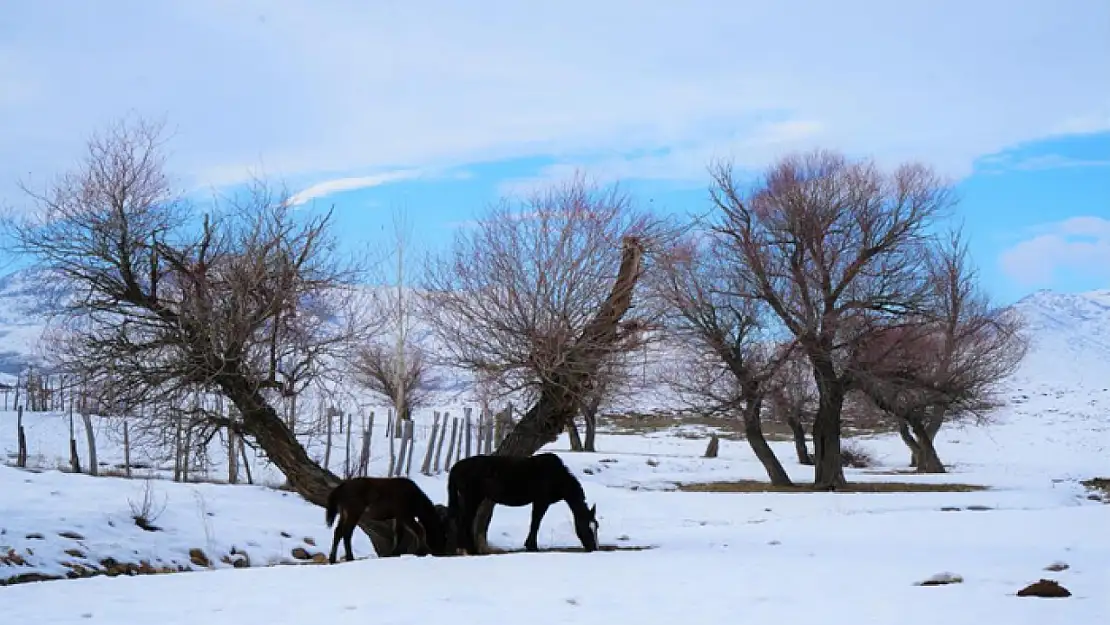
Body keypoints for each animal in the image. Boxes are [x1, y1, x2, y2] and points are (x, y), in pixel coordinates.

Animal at [444, 452, 599, 555]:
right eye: (587, 527)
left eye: (596, 526)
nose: (594, 548)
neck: (557, 476)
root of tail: (455, 467)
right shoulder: (541, 502)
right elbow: (535, 522)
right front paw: (532, 546)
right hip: (472, 498)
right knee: (465, 521)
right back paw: (469, 549)